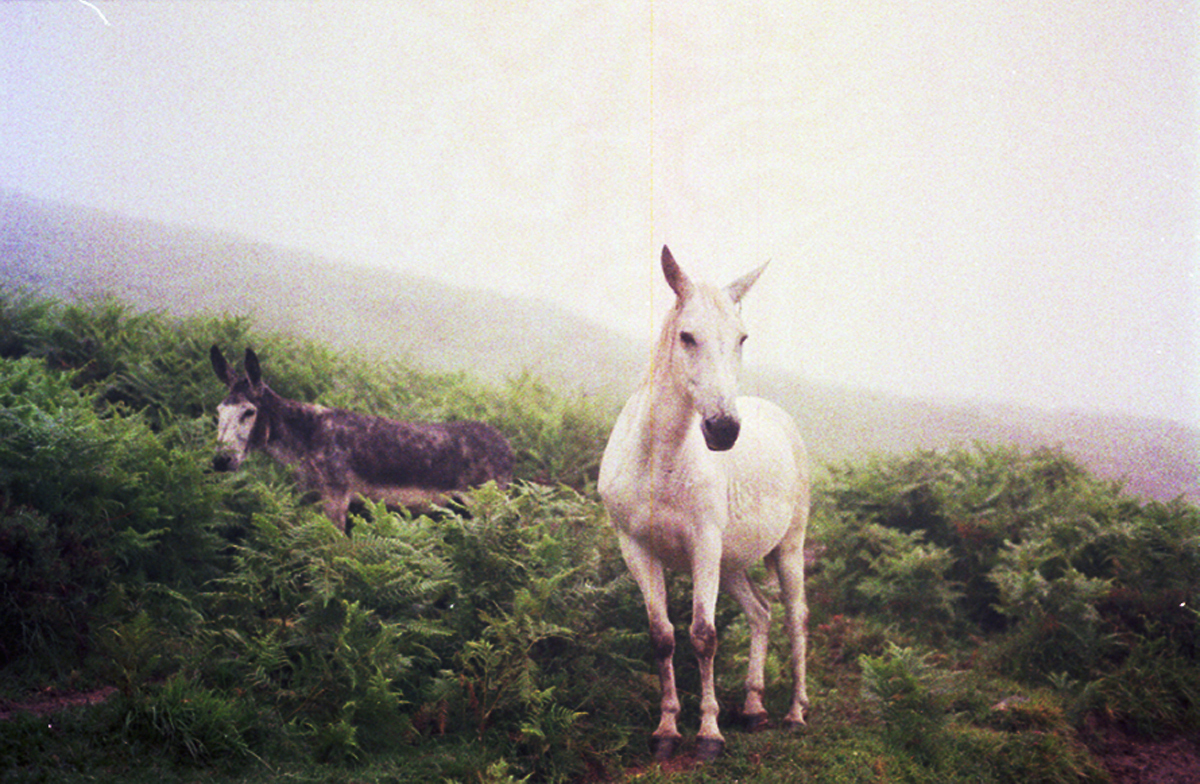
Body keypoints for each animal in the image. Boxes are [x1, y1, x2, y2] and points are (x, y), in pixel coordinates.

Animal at [210, 346, 513, 532]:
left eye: (249, 412)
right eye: (219, 410)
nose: (221, 461)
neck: (304, 442)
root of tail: (508, 448)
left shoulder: (336, 496)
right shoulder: (309, 496)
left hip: (485, 504)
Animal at [597, 246, 810, 761]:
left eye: (742, 337)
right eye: (687, 336)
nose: (723, 429)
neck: (657, 463)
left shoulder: (703, 547)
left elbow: (703, 635)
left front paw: (709, 734)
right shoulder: (637, 549)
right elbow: (662, 636)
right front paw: (667, 731)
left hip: (787, 549)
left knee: (796, 620)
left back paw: (796, 713)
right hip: (731, 563)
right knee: (761, 613)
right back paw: (753, 708)